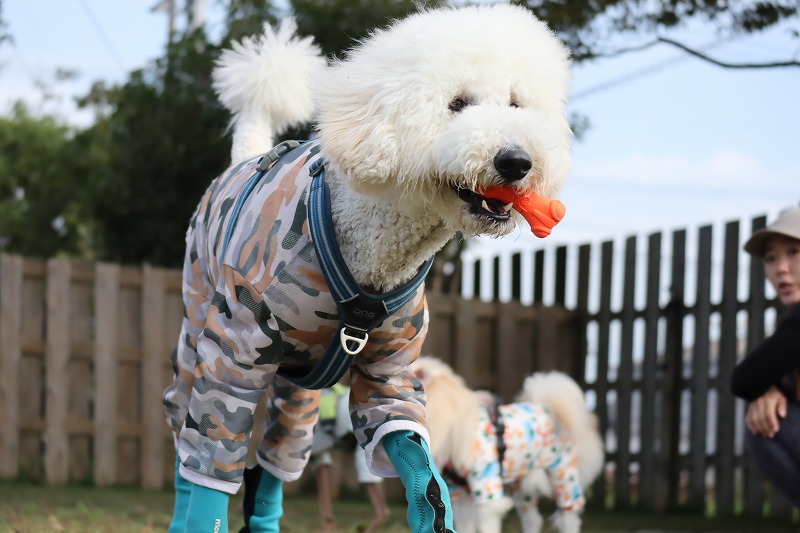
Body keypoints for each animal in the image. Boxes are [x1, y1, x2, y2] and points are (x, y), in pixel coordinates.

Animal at [162, 5, 573, 532]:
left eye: (517, 104)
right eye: (457, 103)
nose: (517, 161)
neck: (371, 257)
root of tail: (246, 156)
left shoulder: (389, 372)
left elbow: (410, 447)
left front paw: (430, 506)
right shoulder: (233, 358)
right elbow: (212, 470)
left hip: (301, 390)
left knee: (279, 457)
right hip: (197, 328)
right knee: (186, 436)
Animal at [412, 356, 604, 533]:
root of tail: (547, 407)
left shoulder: (487, 488)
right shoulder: (460, 494)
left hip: (563, 472)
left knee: (569, 516)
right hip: (523, 484)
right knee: (533, 519)